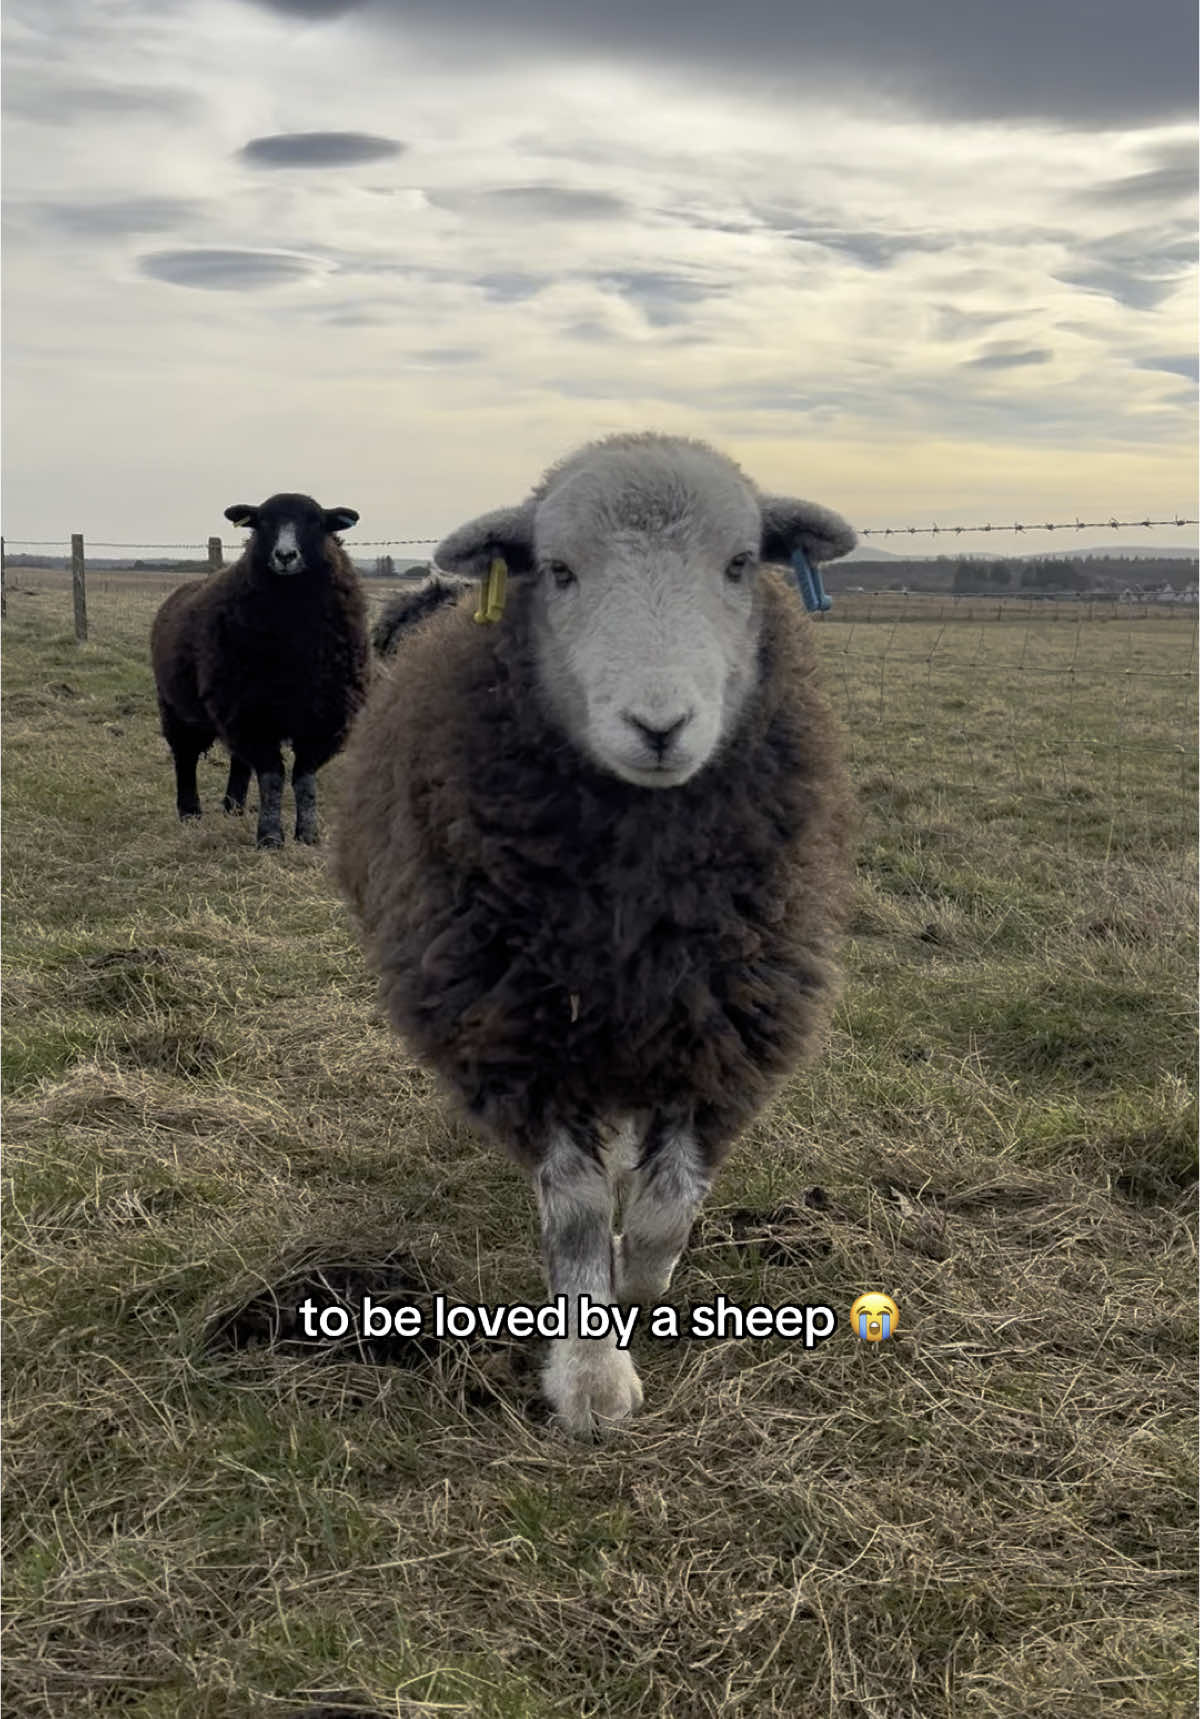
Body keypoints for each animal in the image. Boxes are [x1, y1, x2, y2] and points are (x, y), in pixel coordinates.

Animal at [150, 493, 369, 848]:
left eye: (316, 521)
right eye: (263, 521)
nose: (285, 556)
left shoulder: (323, 716)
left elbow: (304, 780)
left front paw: (308, 834)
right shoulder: (252, 714)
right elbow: (272, 778)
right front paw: (269, 837)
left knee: (238, 762)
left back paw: (234, 808)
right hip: (180, 709)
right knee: (186, 757)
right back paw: (190, 812)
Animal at [332, 432, 857, 1435]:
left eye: (742, 563)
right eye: (561, 571)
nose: (659, 725)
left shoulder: (723, 1024)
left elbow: (666, 1205)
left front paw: (640, 1283)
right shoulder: (521, 1033)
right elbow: (574, 1212)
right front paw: (590, 1373)